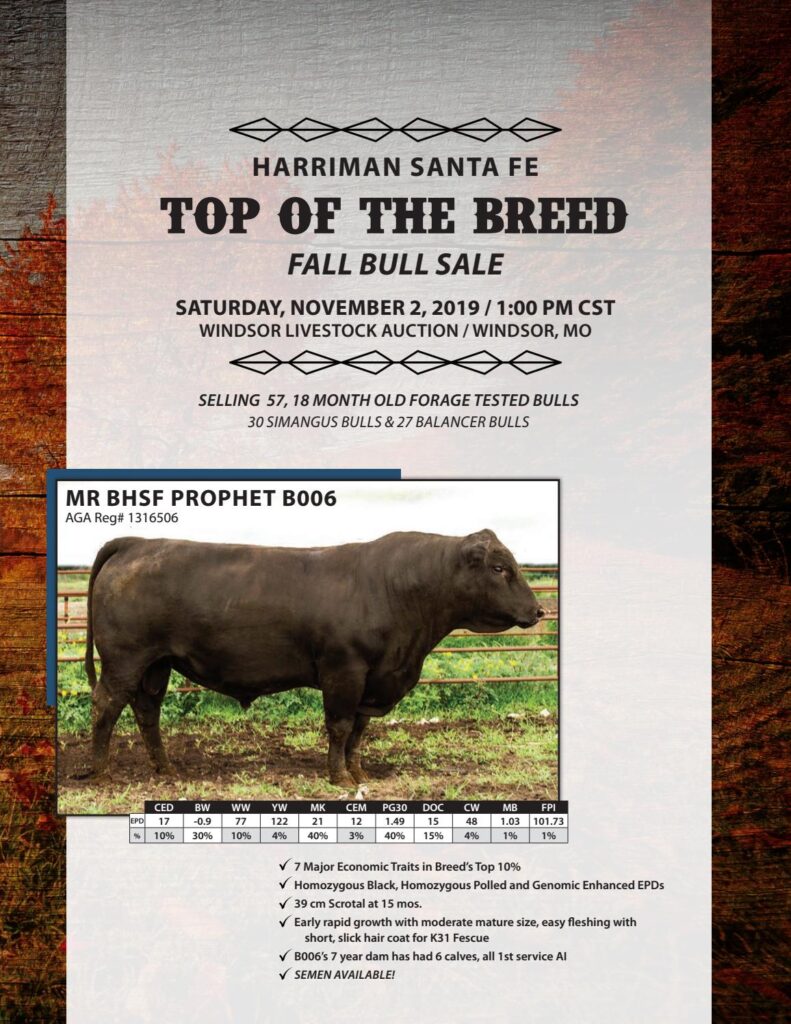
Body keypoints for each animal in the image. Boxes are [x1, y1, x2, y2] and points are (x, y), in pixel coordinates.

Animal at [82, 529, 545, 787]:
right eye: (500, 568)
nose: (539, 610)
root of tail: (137, 543)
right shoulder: (344, 670)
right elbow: (339, 727)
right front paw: (338, 777)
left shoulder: (372, 681)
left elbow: (358, 731)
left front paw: (358, 773)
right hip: (125, 659)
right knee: (106, 705)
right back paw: (99, 771)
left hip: (156, 664)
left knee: (147, 712)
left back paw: (166, 769)